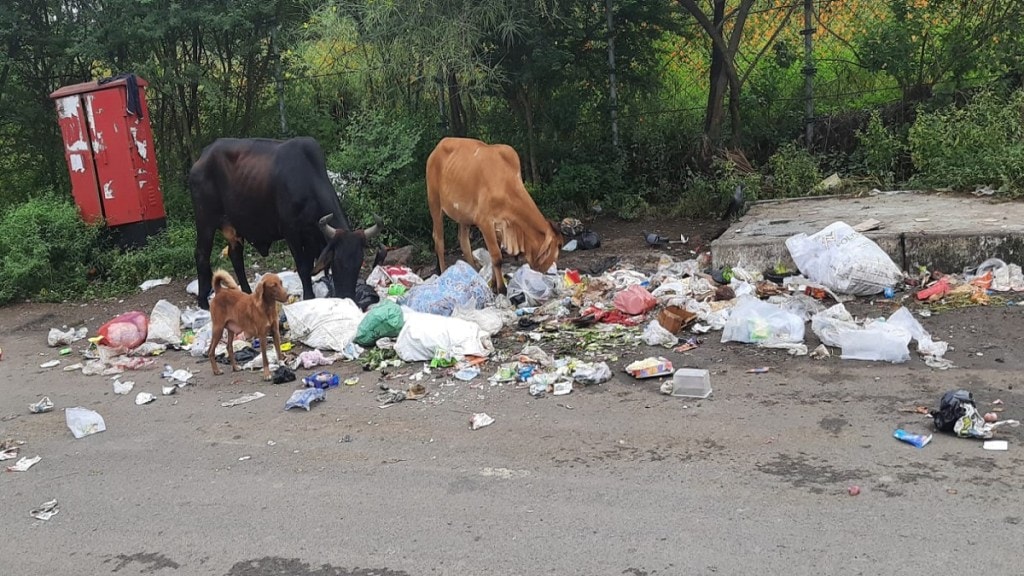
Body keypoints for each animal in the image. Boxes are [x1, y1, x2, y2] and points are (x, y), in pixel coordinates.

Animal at [188, 136, 380, 307]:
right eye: (337, 262)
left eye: (359, 262)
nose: (348, 296)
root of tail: (202, 157)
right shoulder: (291, 233)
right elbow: (303, 267)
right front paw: (309, 297)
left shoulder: (311, 236)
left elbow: (308, 266)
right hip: (205, 221)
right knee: (201, 255)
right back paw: (203, 302)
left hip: (233, 227)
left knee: (236, 256)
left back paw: (247, 293)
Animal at [428, 136, 565, 293]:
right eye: (559, 245)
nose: (548, 272)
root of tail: (437, 148)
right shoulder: (485, 222)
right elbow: (496, 257)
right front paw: (502, 288)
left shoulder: (500, 225)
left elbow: (496, 255)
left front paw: (493, 284)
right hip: (434, 204)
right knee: (439, 241)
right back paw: (443, 272)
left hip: (463, 216)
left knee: (464, 242)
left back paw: (474, 273)